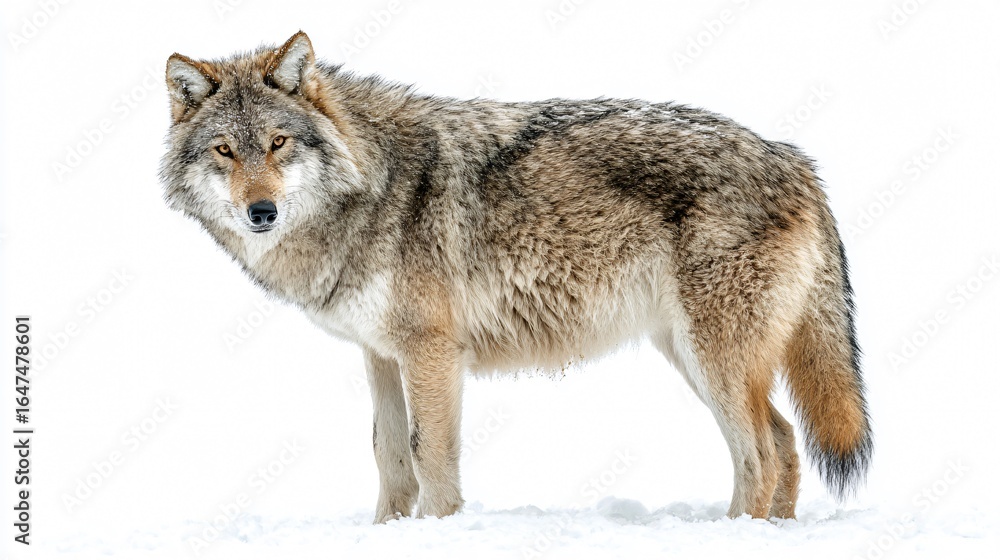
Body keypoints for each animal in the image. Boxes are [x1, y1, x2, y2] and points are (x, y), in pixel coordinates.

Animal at [160, 32, 871, 523]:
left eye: (278, 143)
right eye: (225, 150)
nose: (261, 212)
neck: (371, 185)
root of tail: (795, 158)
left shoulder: (431, 352)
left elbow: (429, 455)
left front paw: (438, 530)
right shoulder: (380, 353)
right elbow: (389, 455)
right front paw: (386, 533)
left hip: (712, 359)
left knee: (762, 453)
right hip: (694, 356)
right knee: (784, 442)